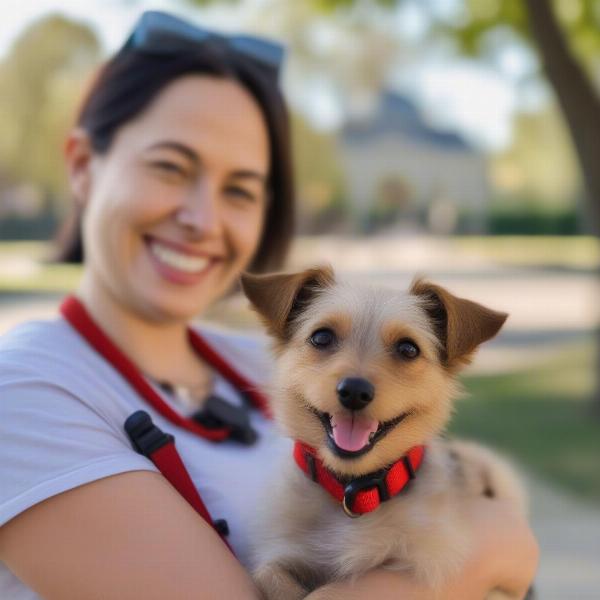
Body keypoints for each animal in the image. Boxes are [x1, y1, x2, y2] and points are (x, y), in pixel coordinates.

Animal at [241, 268, 528, 600]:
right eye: (321, 337)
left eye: (408, 349)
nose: (354, 391)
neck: (354, 494)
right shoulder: (285, 551)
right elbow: (269, 574)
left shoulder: (420, 563)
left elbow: (324, 594)